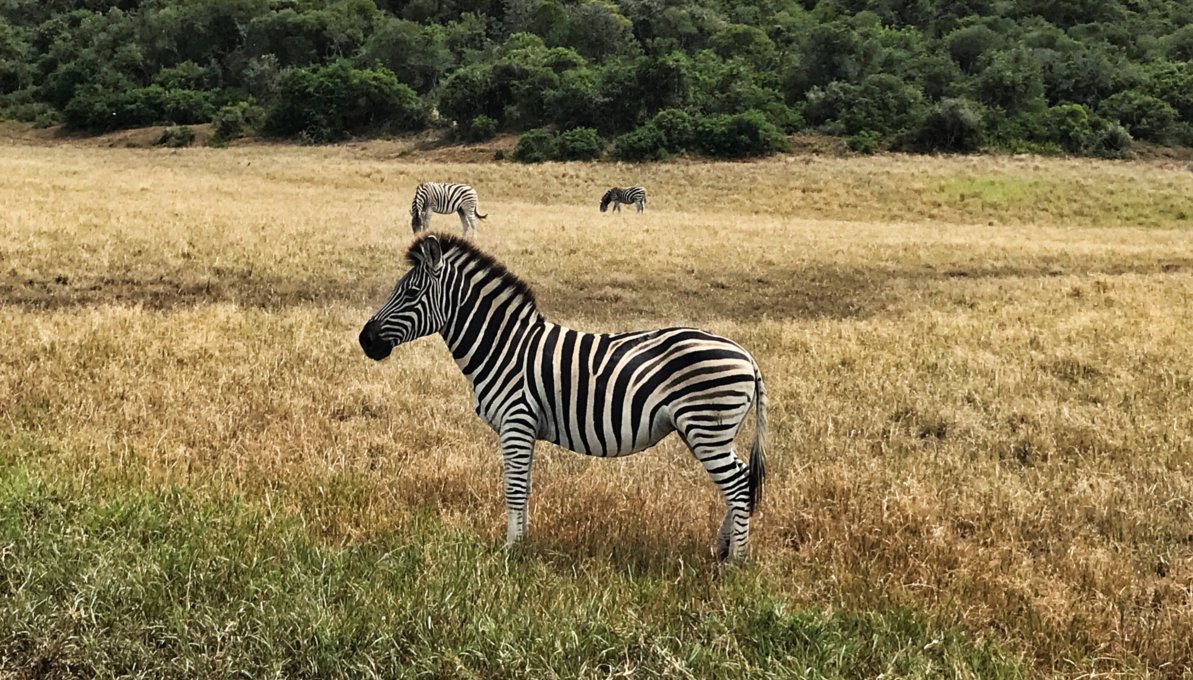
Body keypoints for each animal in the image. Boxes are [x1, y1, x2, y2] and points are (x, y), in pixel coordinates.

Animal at [353, 232, 768, 560]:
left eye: (411, 292)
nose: (365, 340)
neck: (503, 346)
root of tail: (747, 356)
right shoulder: (523, 428)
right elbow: (524, 487)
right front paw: (522, 543)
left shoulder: (516, 421)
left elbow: (514, 489)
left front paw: (511, 550)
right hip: (706, 432)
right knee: (741, 481)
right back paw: (722, 550)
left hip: (707, 428)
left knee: (737, 484)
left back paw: (736, 562)